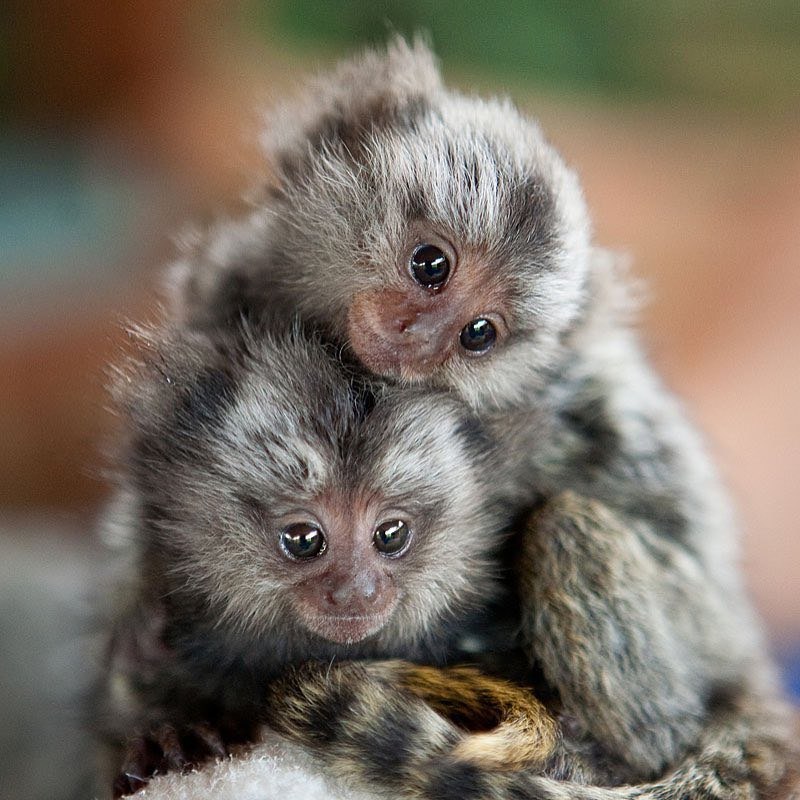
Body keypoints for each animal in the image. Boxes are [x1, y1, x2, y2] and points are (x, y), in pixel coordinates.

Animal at [170, 37, 800, 800]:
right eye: (429, 263)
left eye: (478, 334)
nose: (416, 337)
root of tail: (743, 653)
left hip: (693, 625)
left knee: (568, 532)